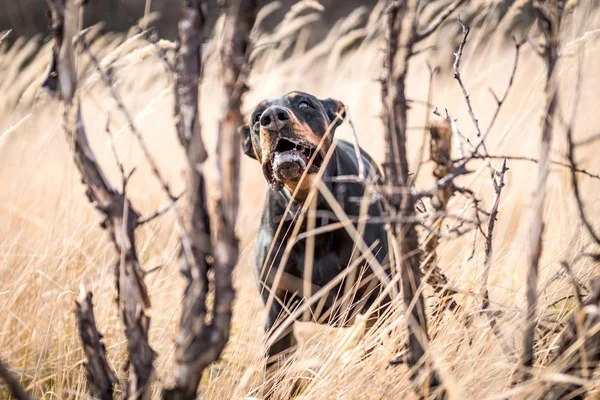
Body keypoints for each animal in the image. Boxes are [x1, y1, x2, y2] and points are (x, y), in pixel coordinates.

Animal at [241, 90, 392, 362]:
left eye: (304, 104)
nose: (273, 117)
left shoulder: (379, 297)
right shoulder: (277, 316)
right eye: (257, 118)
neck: (311, 212)